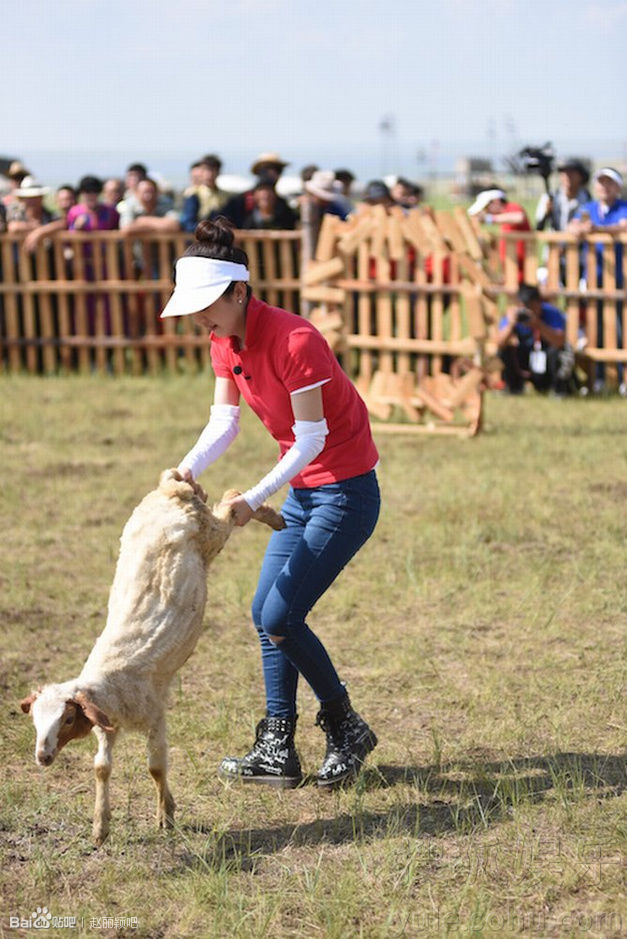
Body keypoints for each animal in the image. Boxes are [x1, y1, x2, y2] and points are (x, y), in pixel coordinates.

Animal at [19, 470, 284, 844]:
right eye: (35, 720)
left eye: (68, 719)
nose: (42, 757)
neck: (110, 681)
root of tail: (171, 488)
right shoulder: (107, 726)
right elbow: (102, 768)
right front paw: (100, 827)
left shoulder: (155, 715)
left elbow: (155, 767)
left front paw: (165, 816)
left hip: (210, 533)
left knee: (232, 503)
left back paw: (273, 518)